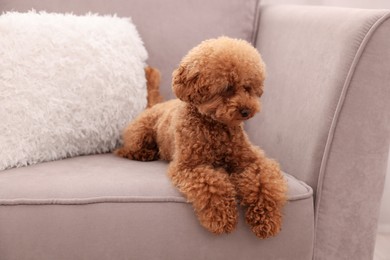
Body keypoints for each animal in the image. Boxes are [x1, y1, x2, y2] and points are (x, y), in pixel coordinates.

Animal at [114, 37, 288, 240]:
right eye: (227, 88)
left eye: (248, 87)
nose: (247, 111)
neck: (215, 127)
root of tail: (157, 105)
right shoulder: (189, 166)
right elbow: (213, 185)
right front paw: (222, 218)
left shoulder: (252, 160)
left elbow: (263, 182)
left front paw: (266, 218)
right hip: (140, 132)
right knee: (125, 149)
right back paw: (143, 153)